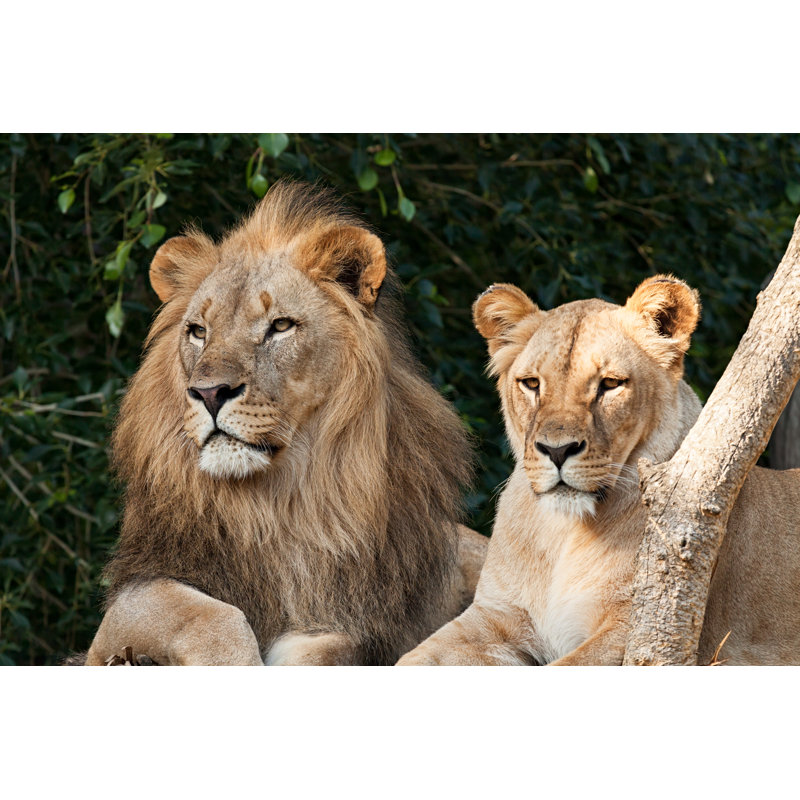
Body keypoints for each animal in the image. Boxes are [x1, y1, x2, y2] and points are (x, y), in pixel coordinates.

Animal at [81, 180, 487, 666]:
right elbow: (210, 616)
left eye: (280, 326)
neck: (276, 505)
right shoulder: (134, 595)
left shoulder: (351, 619)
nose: (209, 393)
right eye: (198, 331)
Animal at [398, 275, 800, 665]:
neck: (562, 532)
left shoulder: (642, 631)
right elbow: (411, 659)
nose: (557, 450)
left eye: (610, 384)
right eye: (531, 384)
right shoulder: (496, 614)